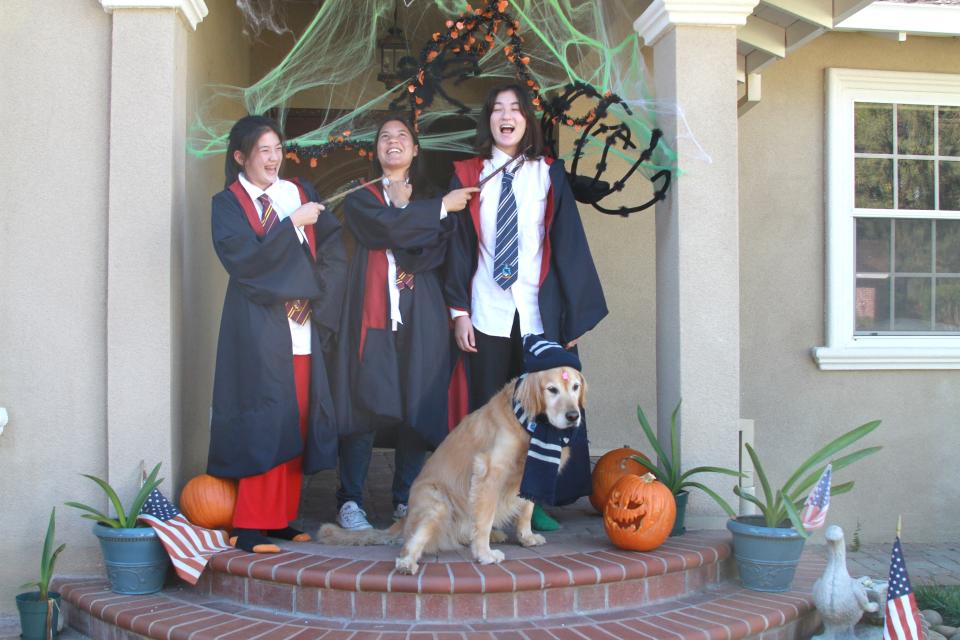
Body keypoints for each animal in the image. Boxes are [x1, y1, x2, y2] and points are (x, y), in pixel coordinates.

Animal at [318, 364, 584, 576]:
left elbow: (526, 509)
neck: (528, 423)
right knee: (411, 543)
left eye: (576, 387)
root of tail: (406, 517)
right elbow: (485, 519)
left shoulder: (529, 474)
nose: (573, 416)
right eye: (552, 390)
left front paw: (526, 537)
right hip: (438, 505)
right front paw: (485, 554)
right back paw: (407, 563)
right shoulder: (490, 472)